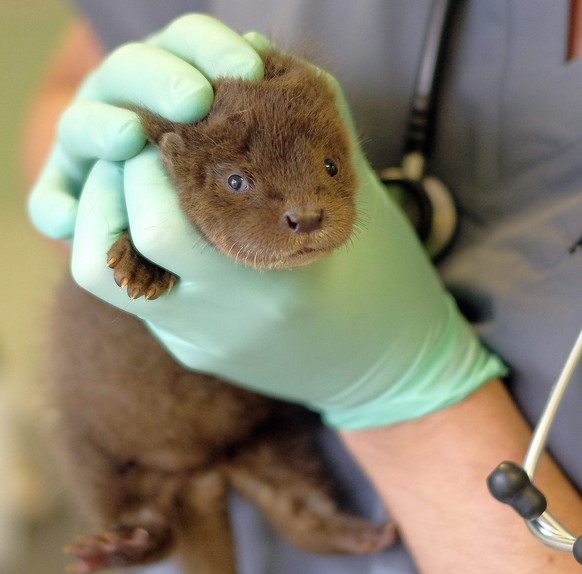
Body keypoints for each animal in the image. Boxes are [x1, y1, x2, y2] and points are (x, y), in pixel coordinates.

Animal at [52, 50, 396, 574]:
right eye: (237, 180)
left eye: (331, 165)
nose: (306, 216)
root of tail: (202, 476)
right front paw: (140, 265)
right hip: (85, 449)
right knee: (150, 525)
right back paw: (114, 546)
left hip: (272, 441)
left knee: (298, 511)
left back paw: (363, 536)